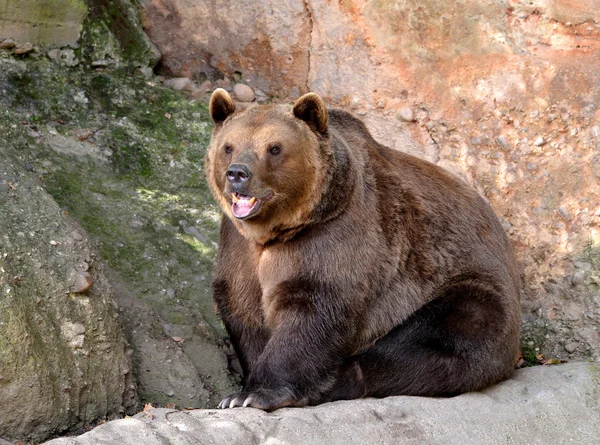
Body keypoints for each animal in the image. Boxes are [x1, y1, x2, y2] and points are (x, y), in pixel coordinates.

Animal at [206, 87, 520, 410]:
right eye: (229, 146)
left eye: (274, 148)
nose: (238, 174)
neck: (278, 230)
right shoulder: (239, 248)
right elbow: (243, 308)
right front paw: (241, 390)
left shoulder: (334, 239)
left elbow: (313, 309)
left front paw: (253, 394)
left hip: (465, 286)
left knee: (445, 335)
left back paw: (335, 383)